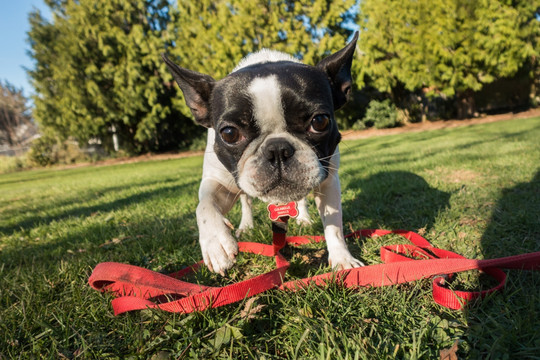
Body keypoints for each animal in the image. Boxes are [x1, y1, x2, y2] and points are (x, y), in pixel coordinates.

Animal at [161, 34, 362, 276]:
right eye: (229, 133)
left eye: (320, 121)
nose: (277, 149)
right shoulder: (218, 181)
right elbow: (205, 205)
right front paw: (216, 243)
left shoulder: (328, 180)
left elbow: (334, 226)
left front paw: (343, 259)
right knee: (246, 202)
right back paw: (246, 227)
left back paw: (303, 218)